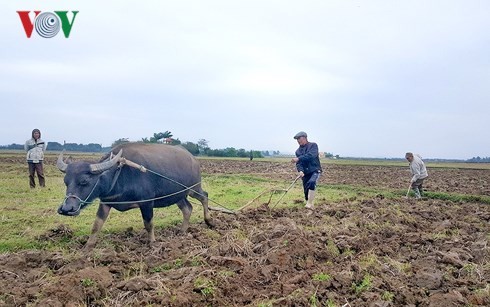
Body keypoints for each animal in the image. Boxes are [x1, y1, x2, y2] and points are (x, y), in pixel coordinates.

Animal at [56, 143, 213, 249]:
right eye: (66, 181)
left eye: (84, 181)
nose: (66, 209)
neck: (119, 175)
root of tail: (193, 159)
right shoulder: (105, 203)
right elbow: (96, 225)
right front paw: (88, 247)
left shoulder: (147, 203)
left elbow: (148, 224)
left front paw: (152, 243)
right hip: (178, 196)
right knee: (188, 208)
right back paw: (182, 231)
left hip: (193, 188)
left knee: (204, 197)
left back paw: (209, 221)